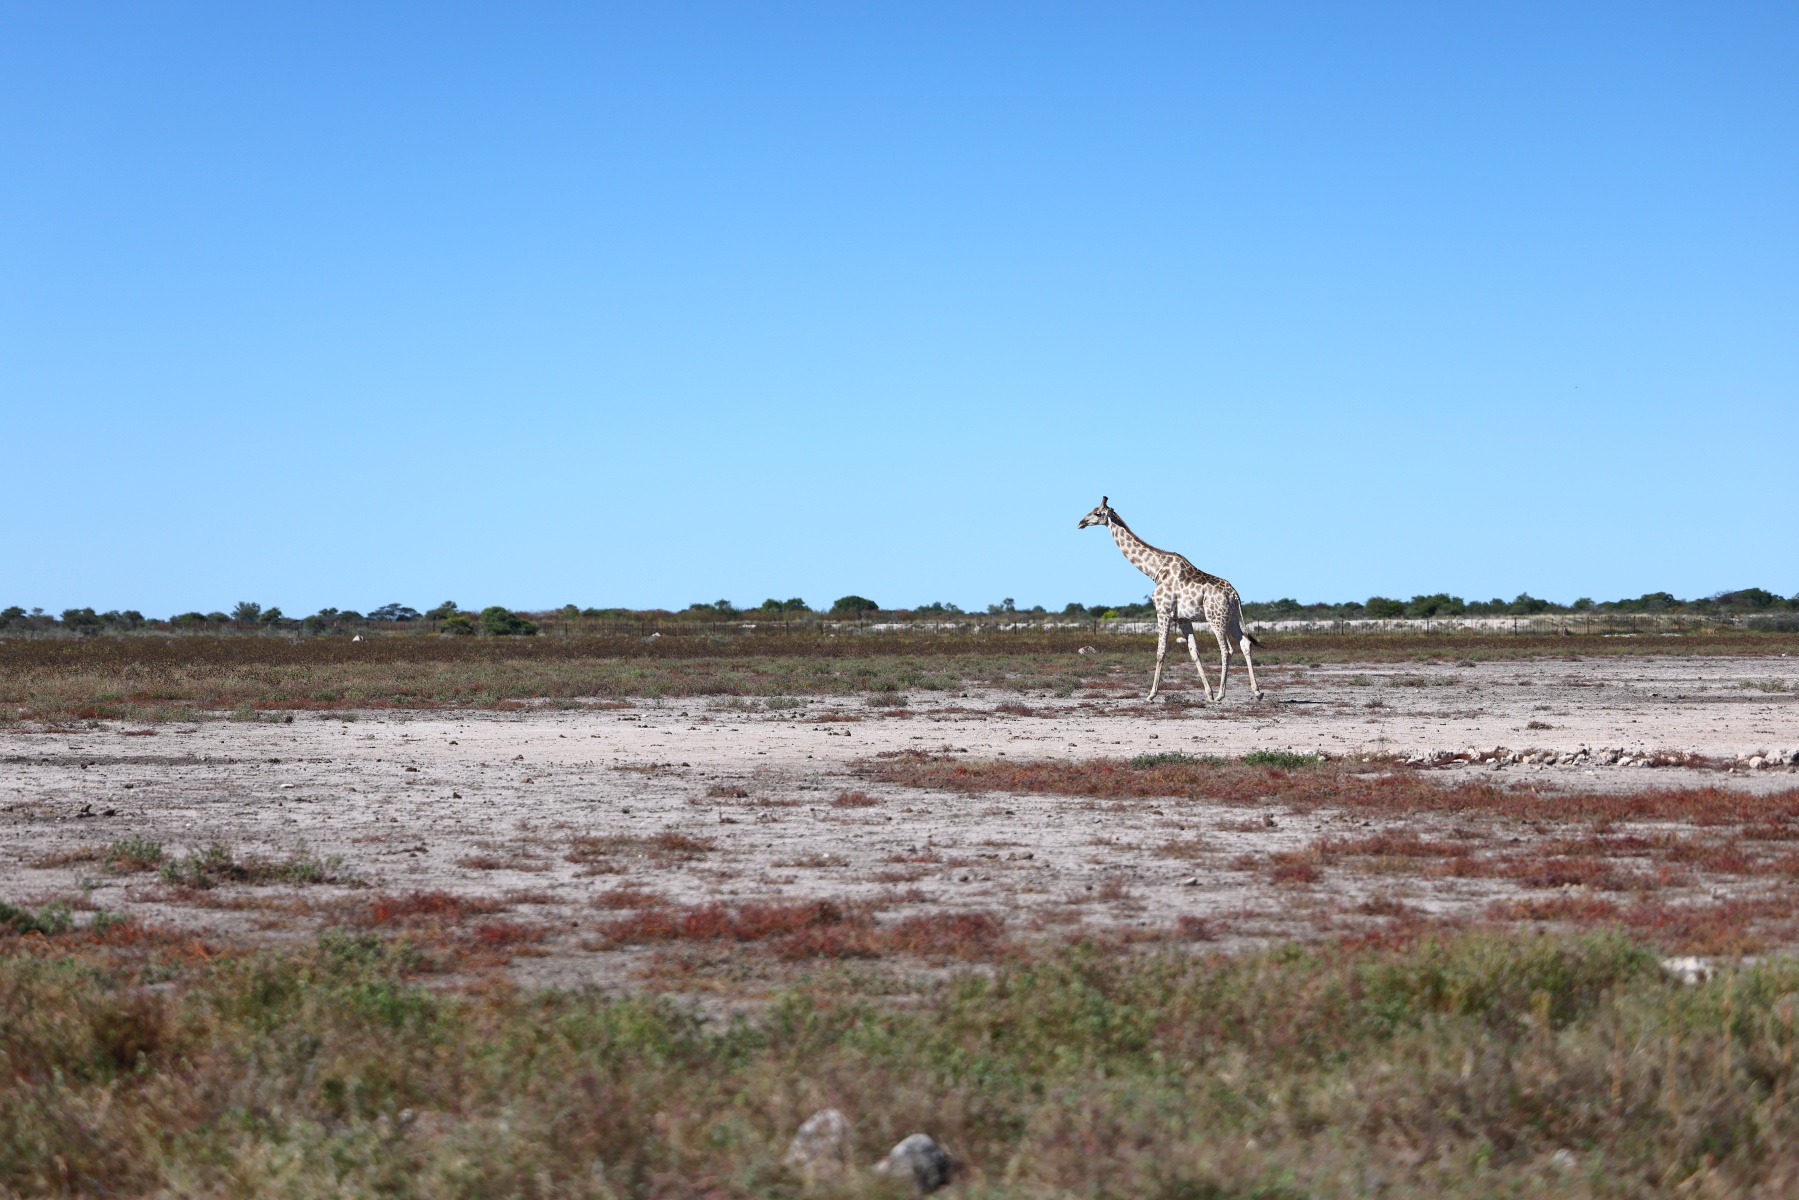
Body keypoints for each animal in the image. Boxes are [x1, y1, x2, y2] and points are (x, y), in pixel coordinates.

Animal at [1078, 497, 1264, 702]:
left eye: (1097, 513)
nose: (1081, 523)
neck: (1155, 570)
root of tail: (1234, 594)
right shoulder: (1183, 619)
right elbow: (1194, 652)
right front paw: (1208, 693)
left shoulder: (1163, 612)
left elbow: (1161, 652)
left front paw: (1151, 694)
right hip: (1232, 618)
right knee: (1245, 643)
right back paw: (1257, 691)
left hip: (1216, 618)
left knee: (1227, 650)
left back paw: (1222, 694)